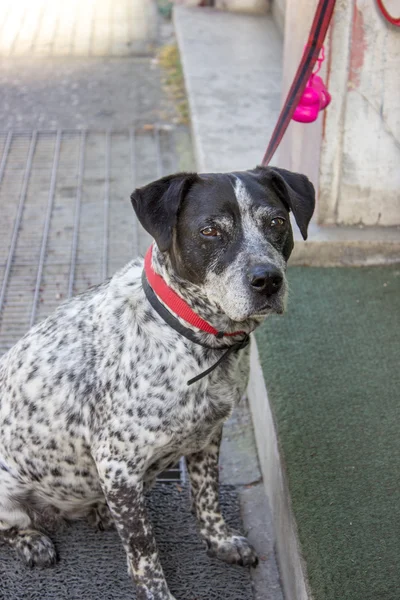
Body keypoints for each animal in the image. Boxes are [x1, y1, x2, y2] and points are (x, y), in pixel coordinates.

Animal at [0, 165, 314, 600]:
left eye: (277, 223)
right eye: (210, 230)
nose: (267, 280)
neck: (192, 334)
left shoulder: (207, 437)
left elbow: (206, 496)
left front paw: (220, 543)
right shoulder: (118, 464)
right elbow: (143, 545)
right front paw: (156, 591)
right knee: (12, 528)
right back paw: (34, 541)